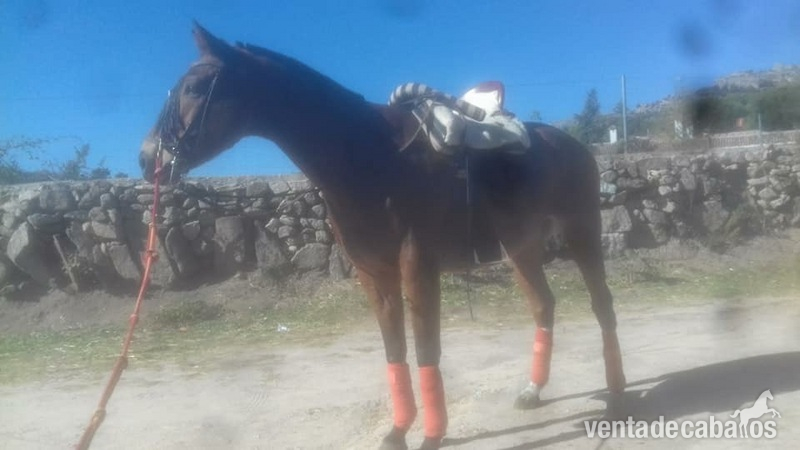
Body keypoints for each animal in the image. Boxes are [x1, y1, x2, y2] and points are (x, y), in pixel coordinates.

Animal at [138, 23, 626, 450]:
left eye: (194, 88)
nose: (147, 160)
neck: (372, 156)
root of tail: (574, 146)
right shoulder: (374, 275)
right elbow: (395, 352)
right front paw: (398, 431)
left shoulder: (418, 268)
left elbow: (427, 350)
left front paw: (432, 435)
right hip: (521, 248)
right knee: (543, 305)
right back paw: (533, 390)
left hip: (583, 233)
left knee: (603, 306)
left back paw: (617, 396)